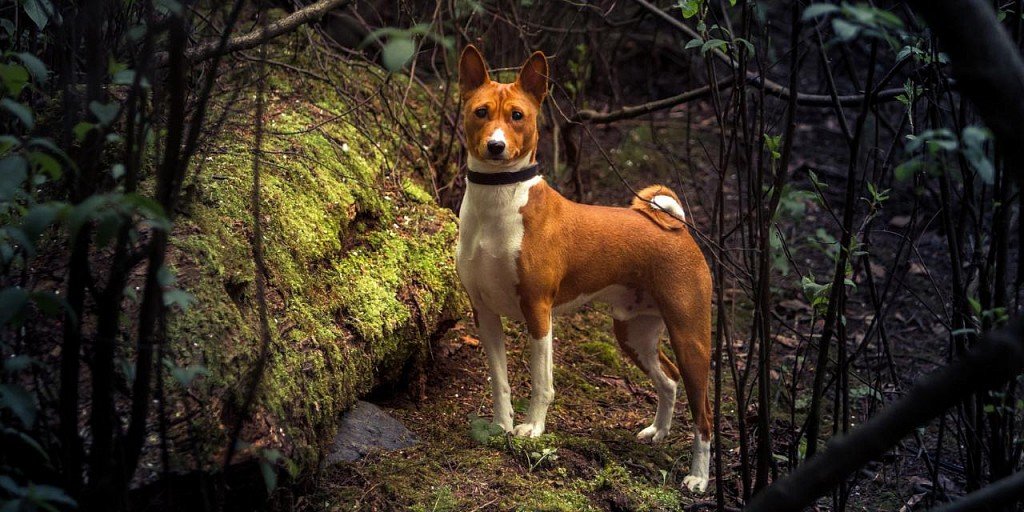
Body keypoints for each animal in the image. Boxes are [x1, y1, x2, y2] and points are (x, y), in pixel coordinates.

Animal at [456, 45, 712, 491]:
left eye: (517, 115)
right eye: (481, 112)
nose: (496, 146)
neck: (498, 205)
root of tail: (678, 228)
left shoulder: (538, 311)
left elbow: (540, 383)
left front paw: (532, 429)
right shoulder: (484, 313)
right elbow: (499, 381)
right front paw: (501, 427)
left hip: (691, 339)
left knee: (704, 416)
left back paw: (698, 477)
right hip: (633, 332)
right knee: (668, 379)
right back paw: (658, 432)